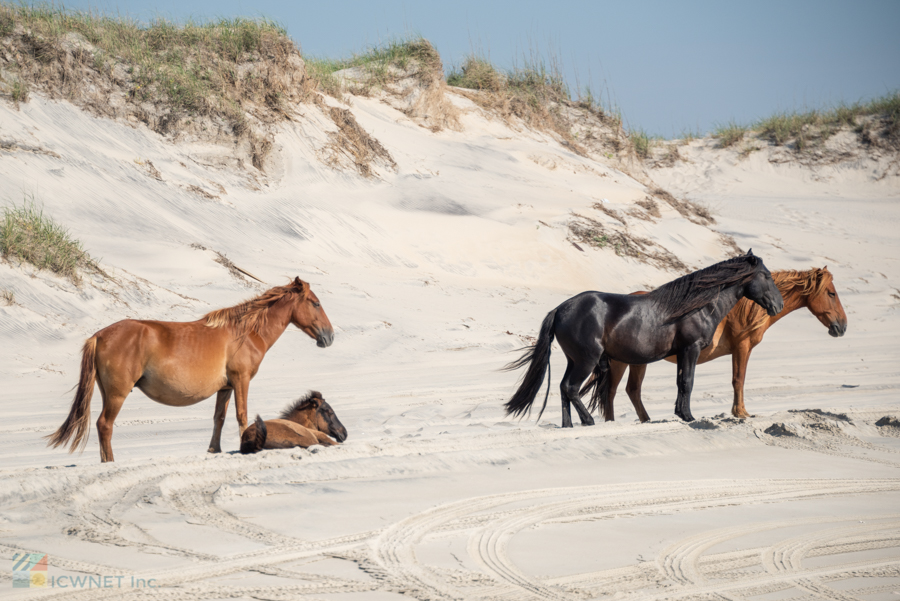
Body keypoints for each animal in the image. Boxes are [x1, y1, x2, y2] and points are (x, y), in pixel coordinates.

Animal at [46, 274, 334, 462]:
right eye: (316, 303)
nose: (329, 336)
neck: (245, 332)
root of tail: (99, 335)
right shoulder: (241, 381)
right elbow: (242, 415)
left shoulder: (226, 387)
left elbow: (219, 418)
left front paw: (214, 450)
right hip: (117, 394)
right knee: (105, 425)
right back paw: (110, 462)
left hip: (108, 392)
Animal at [502, 251, 784, 424]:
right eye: (767, 276)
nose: (778, 305)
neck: (698, 305)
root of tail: (561, 309)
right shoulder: (690, 349)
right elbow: (688, 382)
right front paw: (688, 416)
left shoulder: (682, 353)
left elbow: (681, 382)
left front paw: (680, 413)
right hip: (587, 360)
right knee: (571, 388)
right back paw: (588, 421)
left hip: (575, 360)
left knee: (563, 388)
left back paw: (568, 425)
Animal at [588, 268, 848, 422]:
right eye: (831, 293)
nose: (843, 326)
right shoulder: (742, 347)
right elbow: (738, 380)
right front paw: (741, 413)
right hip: (621, 362)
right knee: (611, 392)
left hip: (637, 362)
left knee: (631, 390)